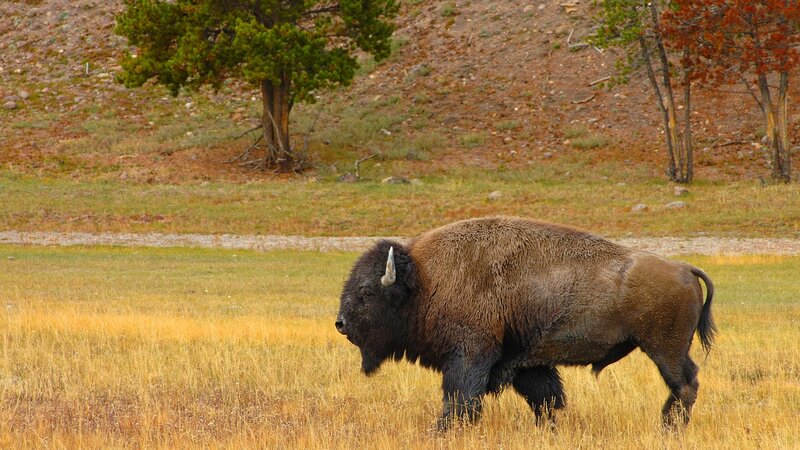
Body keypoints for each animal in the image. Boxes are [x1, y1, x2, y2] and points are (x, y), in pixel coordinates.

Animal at [336, 217, 715, 429]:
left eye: (367, 291)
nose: (340, 323)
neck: (426, 280)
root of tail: (683, 267)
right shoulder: (525, 364)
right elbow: (545, 399)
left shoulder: (470, 356)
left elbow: (460, 399)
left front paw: (441, 431)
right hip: (667, 349)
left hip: (665, 350)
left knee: (685, 384)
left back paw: (669, 427)